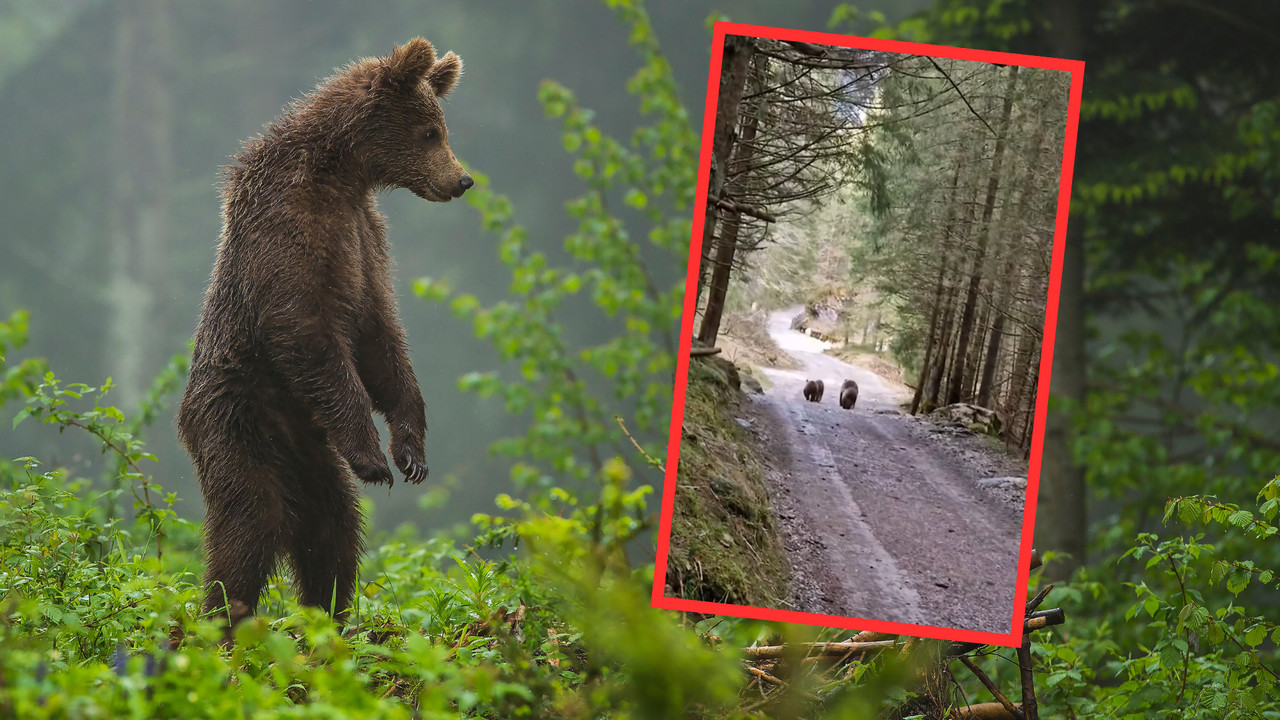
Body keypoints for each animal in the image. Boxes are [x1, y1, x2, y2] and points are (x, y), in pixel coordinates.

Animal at [177, 37, 473, 632]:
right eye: (431, 131)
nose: (462, 180)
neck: (341, 175)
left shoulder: (364, 241)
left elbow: (382, 339)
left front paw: (410, 454)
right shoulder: (288, 233)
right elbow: (308, 331)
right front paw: (374, 456)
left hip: (311, 455)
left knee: (333, 528)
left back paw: (329, 615)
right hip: (238, 420)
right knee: (250, 520)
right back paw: (223, 619)